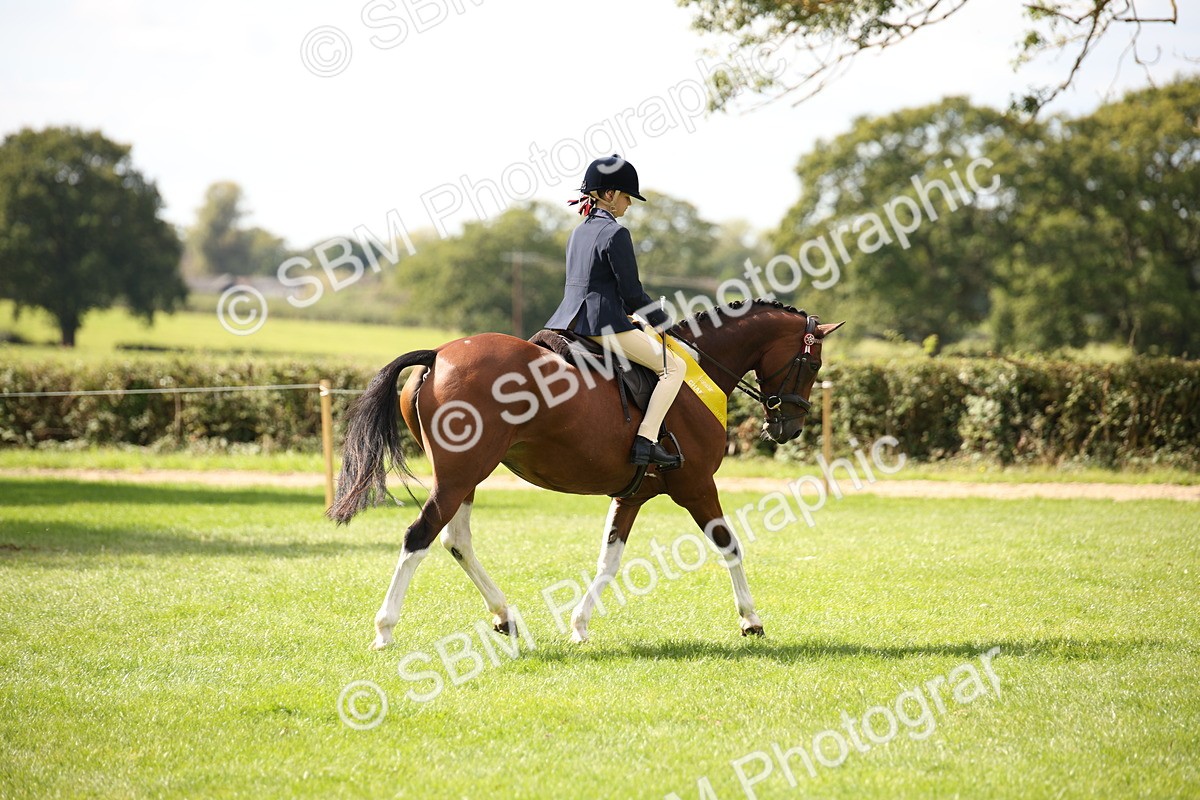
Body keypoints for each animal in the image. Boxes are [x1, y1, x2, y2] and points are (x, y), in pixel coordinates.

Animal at [329, 299, 844, 649]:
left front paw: (578, 624)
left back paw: (504, 616)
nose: (788, 427)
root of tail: (437, 355)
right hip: (462, 474)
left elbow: (609, 561)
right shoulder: (697, 486)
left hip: (465, 476)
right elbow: (730, 545)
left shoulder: (633, 494)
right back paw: (385, 630)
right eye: (813, 363)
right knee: (419, 536)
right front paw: (750, 620)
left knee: (456, 540)